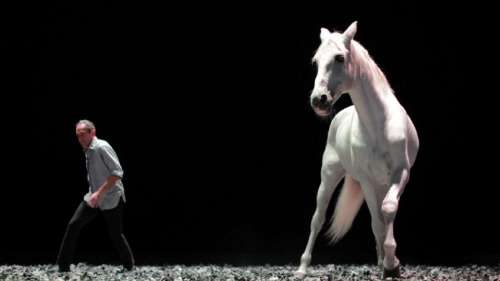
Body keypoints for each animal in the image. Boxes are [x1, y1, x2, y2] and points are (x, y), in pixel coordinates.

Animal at [294, 20, 420, 276]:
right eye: (316, 61)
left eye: (340, 58)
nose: (318, 100)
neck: (378, 127)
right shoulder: (367, 180)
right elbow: (378, 222)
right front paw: (390, 264)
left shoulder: (400, 173)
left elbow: (388, 210)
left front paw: (391, 263)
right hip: (329, 177)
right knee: (318, 219)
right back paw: (302, 268)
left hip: (381, 183)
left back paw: (382, 261)